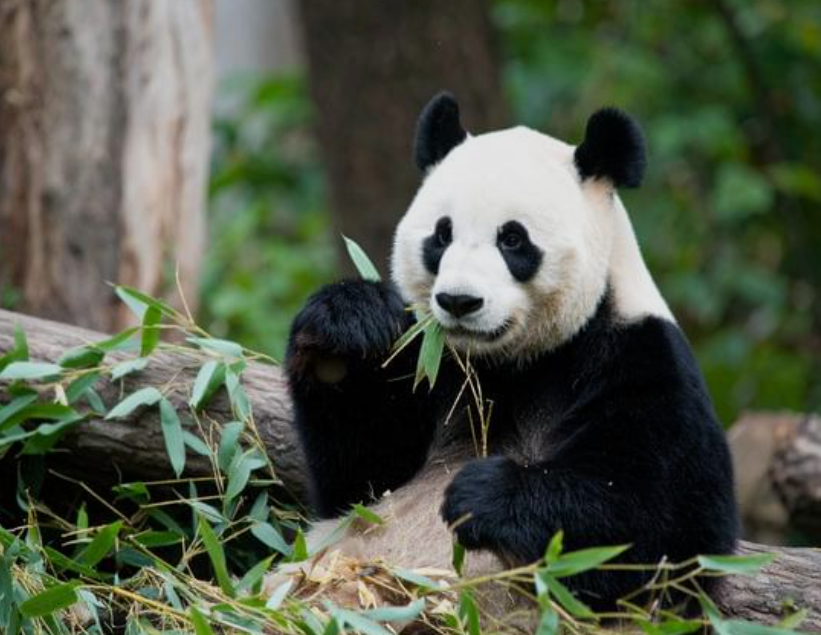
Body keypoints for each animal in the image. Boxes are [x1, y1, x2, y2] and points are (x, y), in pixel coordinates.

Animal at [284, 92, 739, 611]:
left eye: (513, 238)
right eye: (442, 235)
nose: (459, 301)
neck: (512, 363)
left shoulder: (641, 358)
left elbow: (661, 525)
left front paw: (483, 494)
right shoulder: (434, 367)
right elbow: (361, 474)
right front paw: (345, 327)